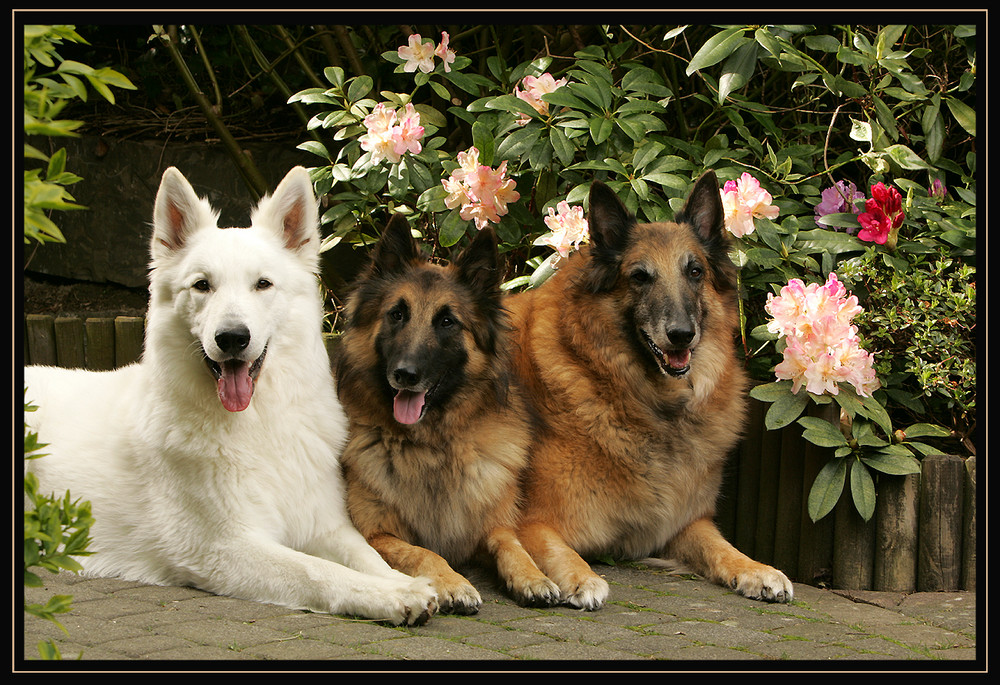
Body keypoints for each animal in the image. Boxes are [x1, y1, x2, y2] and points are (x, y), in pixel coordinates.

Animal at [22, 167, 438, 624]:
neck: (259, 423)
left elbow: (368, 557)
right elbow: (318, 571)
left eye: (263, 284)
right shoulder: (225, 545)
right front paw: (392, 595)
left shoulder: (325, 526)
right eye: (202, 285)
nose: (233, 338)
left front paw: (408, 582)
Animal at [332, 215, 560, 616]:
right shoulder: (375, 534)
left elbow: (512, 546)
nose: (405, 374)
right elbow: (425, 553)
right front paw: (454, 583)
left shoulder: (491, 524)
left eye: (447, 322)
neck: (433, 444)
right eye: (396, 314)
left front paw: (532, 578)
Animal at [512, 172, 792, 608]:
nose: (681, 335)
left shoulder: (682, 524)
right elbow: (558, 550)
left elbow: (722, 548)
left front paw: (757, 570)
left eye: (695, 272)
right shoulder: (535, 521)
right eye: (640, 277)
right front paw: (581, 577)